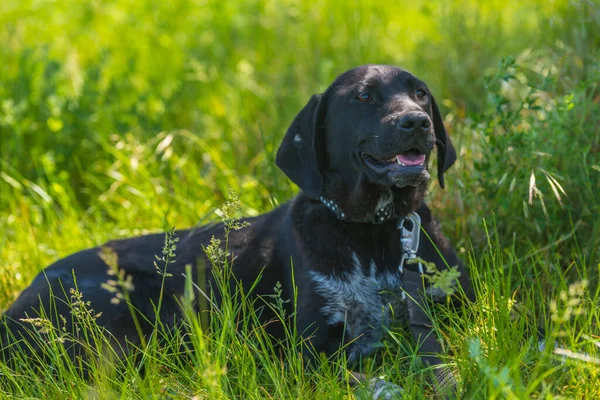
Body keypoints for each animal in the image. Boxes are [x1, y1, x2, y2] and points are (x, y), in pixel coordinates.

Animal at [1, 65, 474, 394]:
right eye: (363, 96)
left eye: (420, 93)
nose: (417, 121)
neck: (372, 234)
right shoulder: (310, 351)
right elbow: (361, 376)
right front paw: (391, 385)